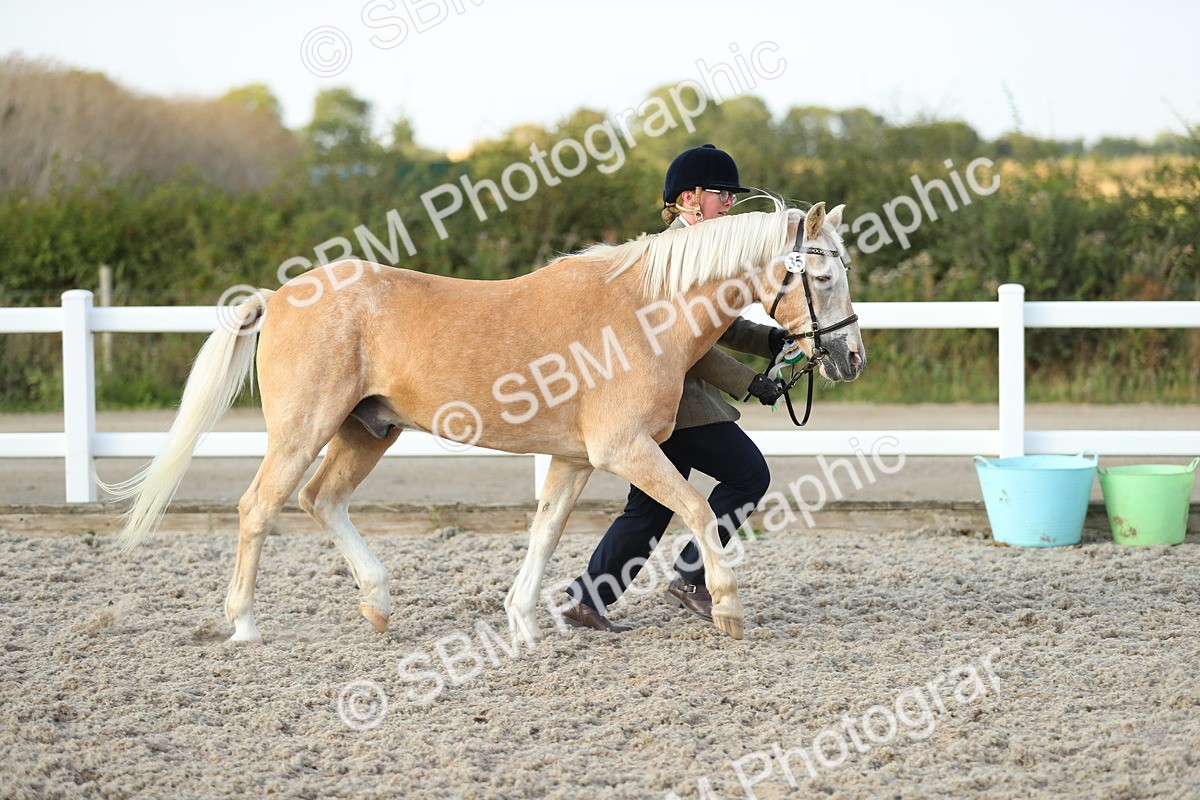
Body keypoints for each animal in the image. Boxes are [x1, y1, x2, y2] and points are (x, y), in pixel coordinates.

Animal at [108, 199, 865, 643]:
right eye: (824, 274)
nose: (849, 357)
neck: (644, 312)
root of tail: (278, 294)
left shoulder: (576, 459)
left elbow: (545, 533)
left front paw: (524, 623)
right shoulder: (624, 450)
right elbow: (698, 512)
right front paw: (729, 608)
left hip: (366, 430)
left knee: (321, 500)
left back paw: (379, 605)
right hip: (303, 430)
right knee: (259, 507)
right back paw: (243, 626)